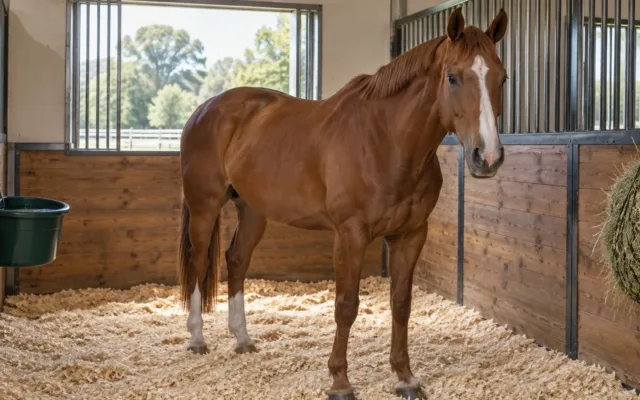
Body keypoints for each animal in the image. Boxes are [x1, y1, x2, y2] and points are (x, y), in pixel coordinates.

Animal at [177, 7, 508, 400]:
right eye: (454, 77)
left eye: (502, 78)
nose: (487, 157)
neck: (386, 141)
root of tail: (205, 109)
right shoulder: (350, 234)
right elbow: (346, 306)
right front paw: (340, 381)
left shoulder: (411, 235)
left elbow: (401, 304)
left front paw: (405, 377)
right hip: (205, 206)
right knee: (198, 262)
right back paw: (197, 338)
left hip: (253, 211)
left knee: (237, 259)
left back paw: (242, 338)